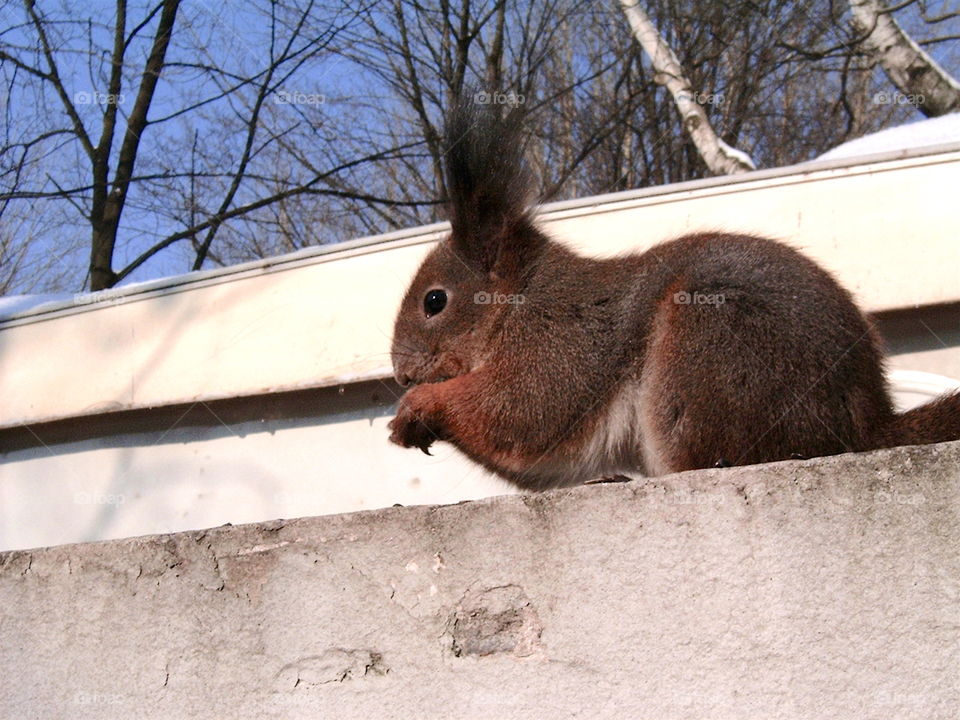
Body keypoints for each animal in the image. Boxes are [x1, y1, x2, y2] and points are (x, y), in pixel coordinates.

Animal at [386, 95, 960, 490]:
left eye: (434, 301)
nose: (400, 372)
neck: (518, 302)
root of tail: (864, 428)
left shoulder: (562, 341)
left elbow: (523, 411)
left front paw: (419, 404)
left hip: (709, 352)